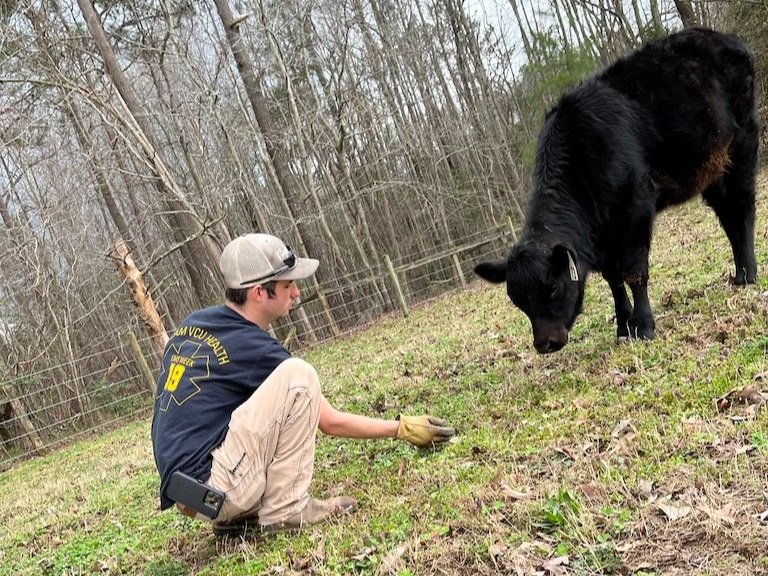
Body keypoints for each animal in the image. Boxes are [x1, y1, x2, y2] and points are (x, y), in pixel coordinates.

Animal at [475, 27, 759, 354]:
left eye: (553, 286)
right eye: (517, 300)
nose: (546, 343)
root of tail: (719, 37)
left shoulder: (634, 212)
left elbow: (634, 272)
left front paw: (644, 326)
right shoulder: (603, 238)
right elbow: (613, 281)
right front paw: (624, 327)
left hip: (741, 149)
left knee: (743, 211)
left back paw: (750, 275)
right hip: (713, 172)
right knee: (728, 219)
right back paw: (739, 274)